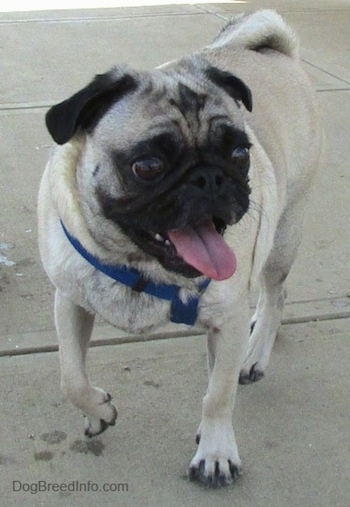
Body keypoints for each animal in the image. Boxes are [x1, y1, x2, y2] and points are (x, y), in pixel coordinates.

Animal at [37, 9, 322, 488]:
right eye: (148, 165)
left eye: (240, 153)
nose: (209, 177)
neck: (139, 265)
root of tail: (277, 52)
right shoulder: (70, 299)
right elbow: (69, 377)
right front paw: (98, 411)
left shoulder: (226, 319)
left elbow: (217, 396)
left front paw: (216, 452)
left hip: (284, 233)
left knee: (276, 293)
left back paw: (254, 354)